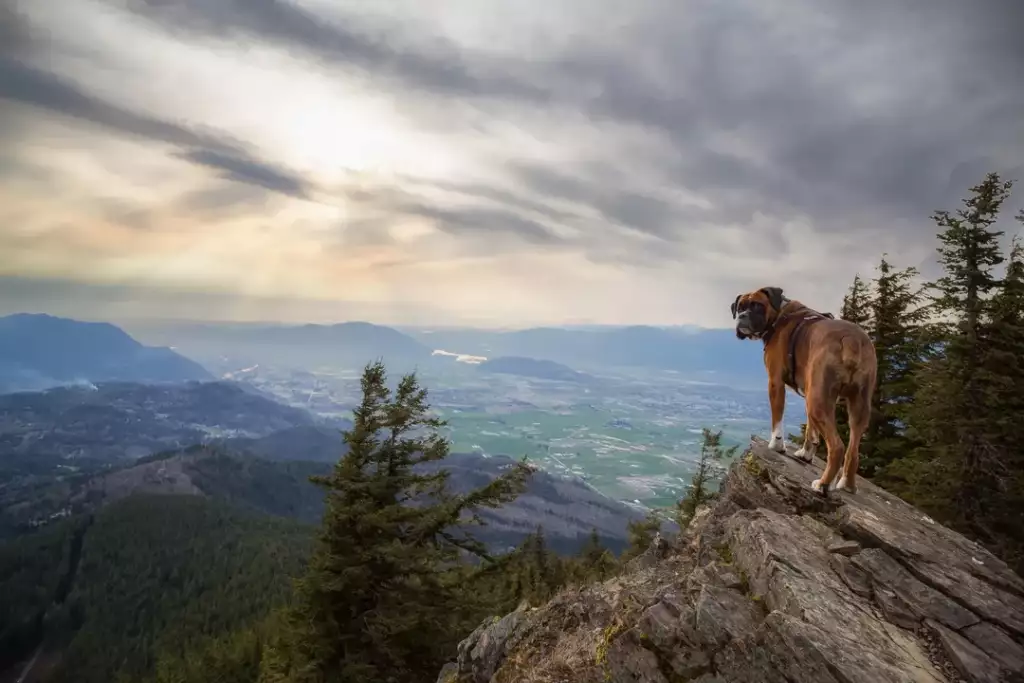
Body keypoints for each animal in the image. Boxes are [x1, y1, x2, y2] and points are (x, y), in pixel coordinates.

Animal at [729, 286, 880, 493]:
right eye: (740, 307)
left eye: (757, 305)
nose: (742, 316)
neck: (778, 316)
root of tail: (851, 340)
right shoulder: (810, 392)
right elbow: (811, 429)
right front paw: (806, 453)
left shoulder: (775, 382)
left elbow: (777, 419)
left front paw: (776, 445)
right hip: (855, 404)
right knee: (853, 449)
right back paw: (847, 484)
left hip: (818, 402)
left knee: (837, 447)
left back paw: (823, 484)